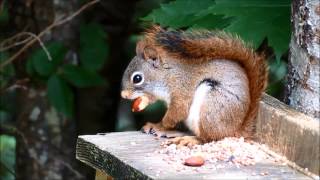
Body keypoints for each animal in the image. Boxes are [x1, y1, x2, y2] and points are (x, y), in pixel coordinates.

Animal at [120, 26, 268, 146]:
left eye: (137, 78)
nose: (123, 95)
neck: (167, 75)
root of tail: (236, 130)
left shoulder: (182, 89)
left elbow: (176, 112)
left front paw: (159, 126)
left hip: (211, 108)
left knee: (209, 138)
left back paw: (189, 139)